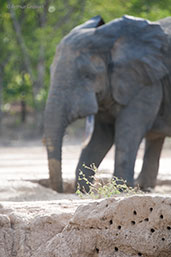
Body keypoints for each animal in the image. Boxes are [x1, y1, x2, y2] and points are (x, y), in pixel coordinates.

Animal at [43, 15, 171, 191]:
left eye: (88, 75)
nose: (61, 189)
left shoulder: (146, 84)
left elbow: (129, 130)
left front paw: (122, 190)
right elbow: (102, 135)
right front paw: (84, 191)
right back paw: (144, 187)